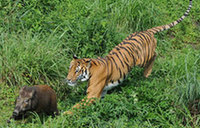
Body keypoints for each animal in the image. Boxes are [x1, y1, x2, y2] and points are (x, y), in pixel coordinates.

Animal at [63, 0, 192, 114]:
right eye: (70, 69)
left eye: (77, 71)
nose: (68, 79)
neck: (90, 71)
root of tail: (146, 31)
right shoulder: (102, 92)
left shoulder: (92, 95)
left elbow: (75, 108)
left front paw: (63, 116)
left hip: (143, 59)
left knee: (155, 54)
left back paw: (147, 74)